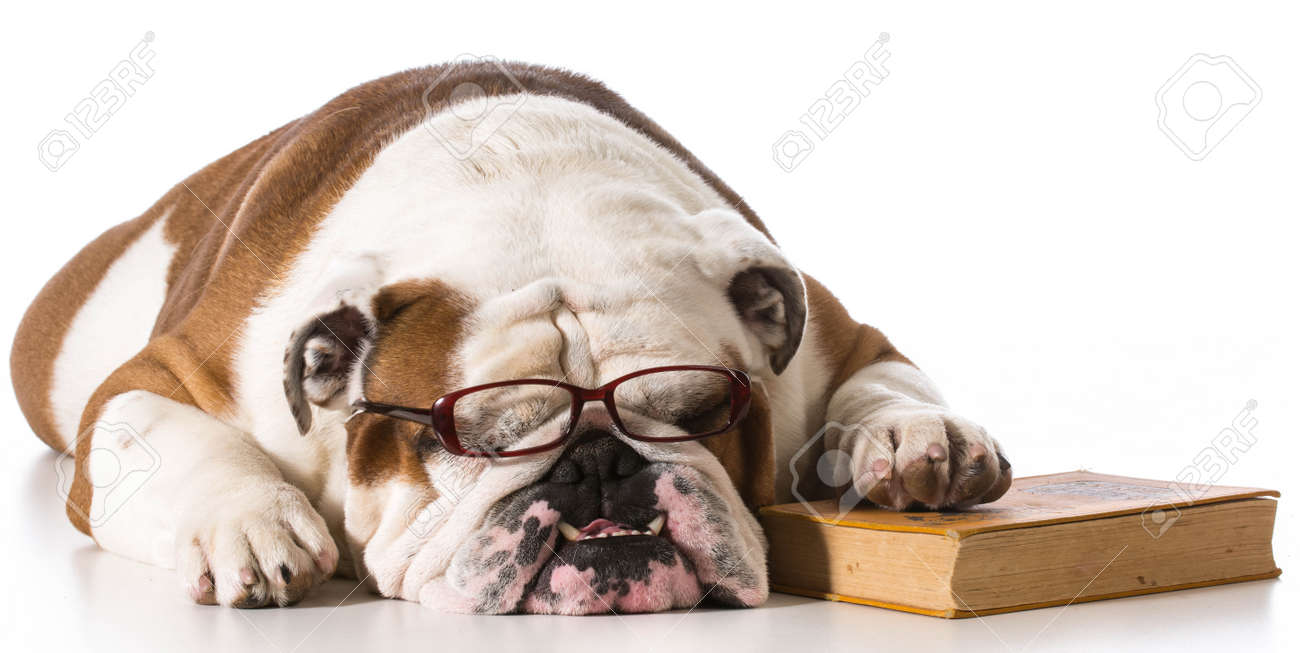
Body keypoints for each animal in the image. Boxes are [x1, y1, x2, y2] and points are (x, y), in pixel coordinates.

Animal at [12, 62, 1011, 614]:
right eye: (477, 440)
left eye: (700, 412)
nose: (599, 462)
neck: (530, 187)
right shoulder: (158, 377)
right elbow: (175, 435)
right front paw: (251, 523)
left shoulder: (829, 337)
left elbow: (884, 376)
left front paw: (919, 438)